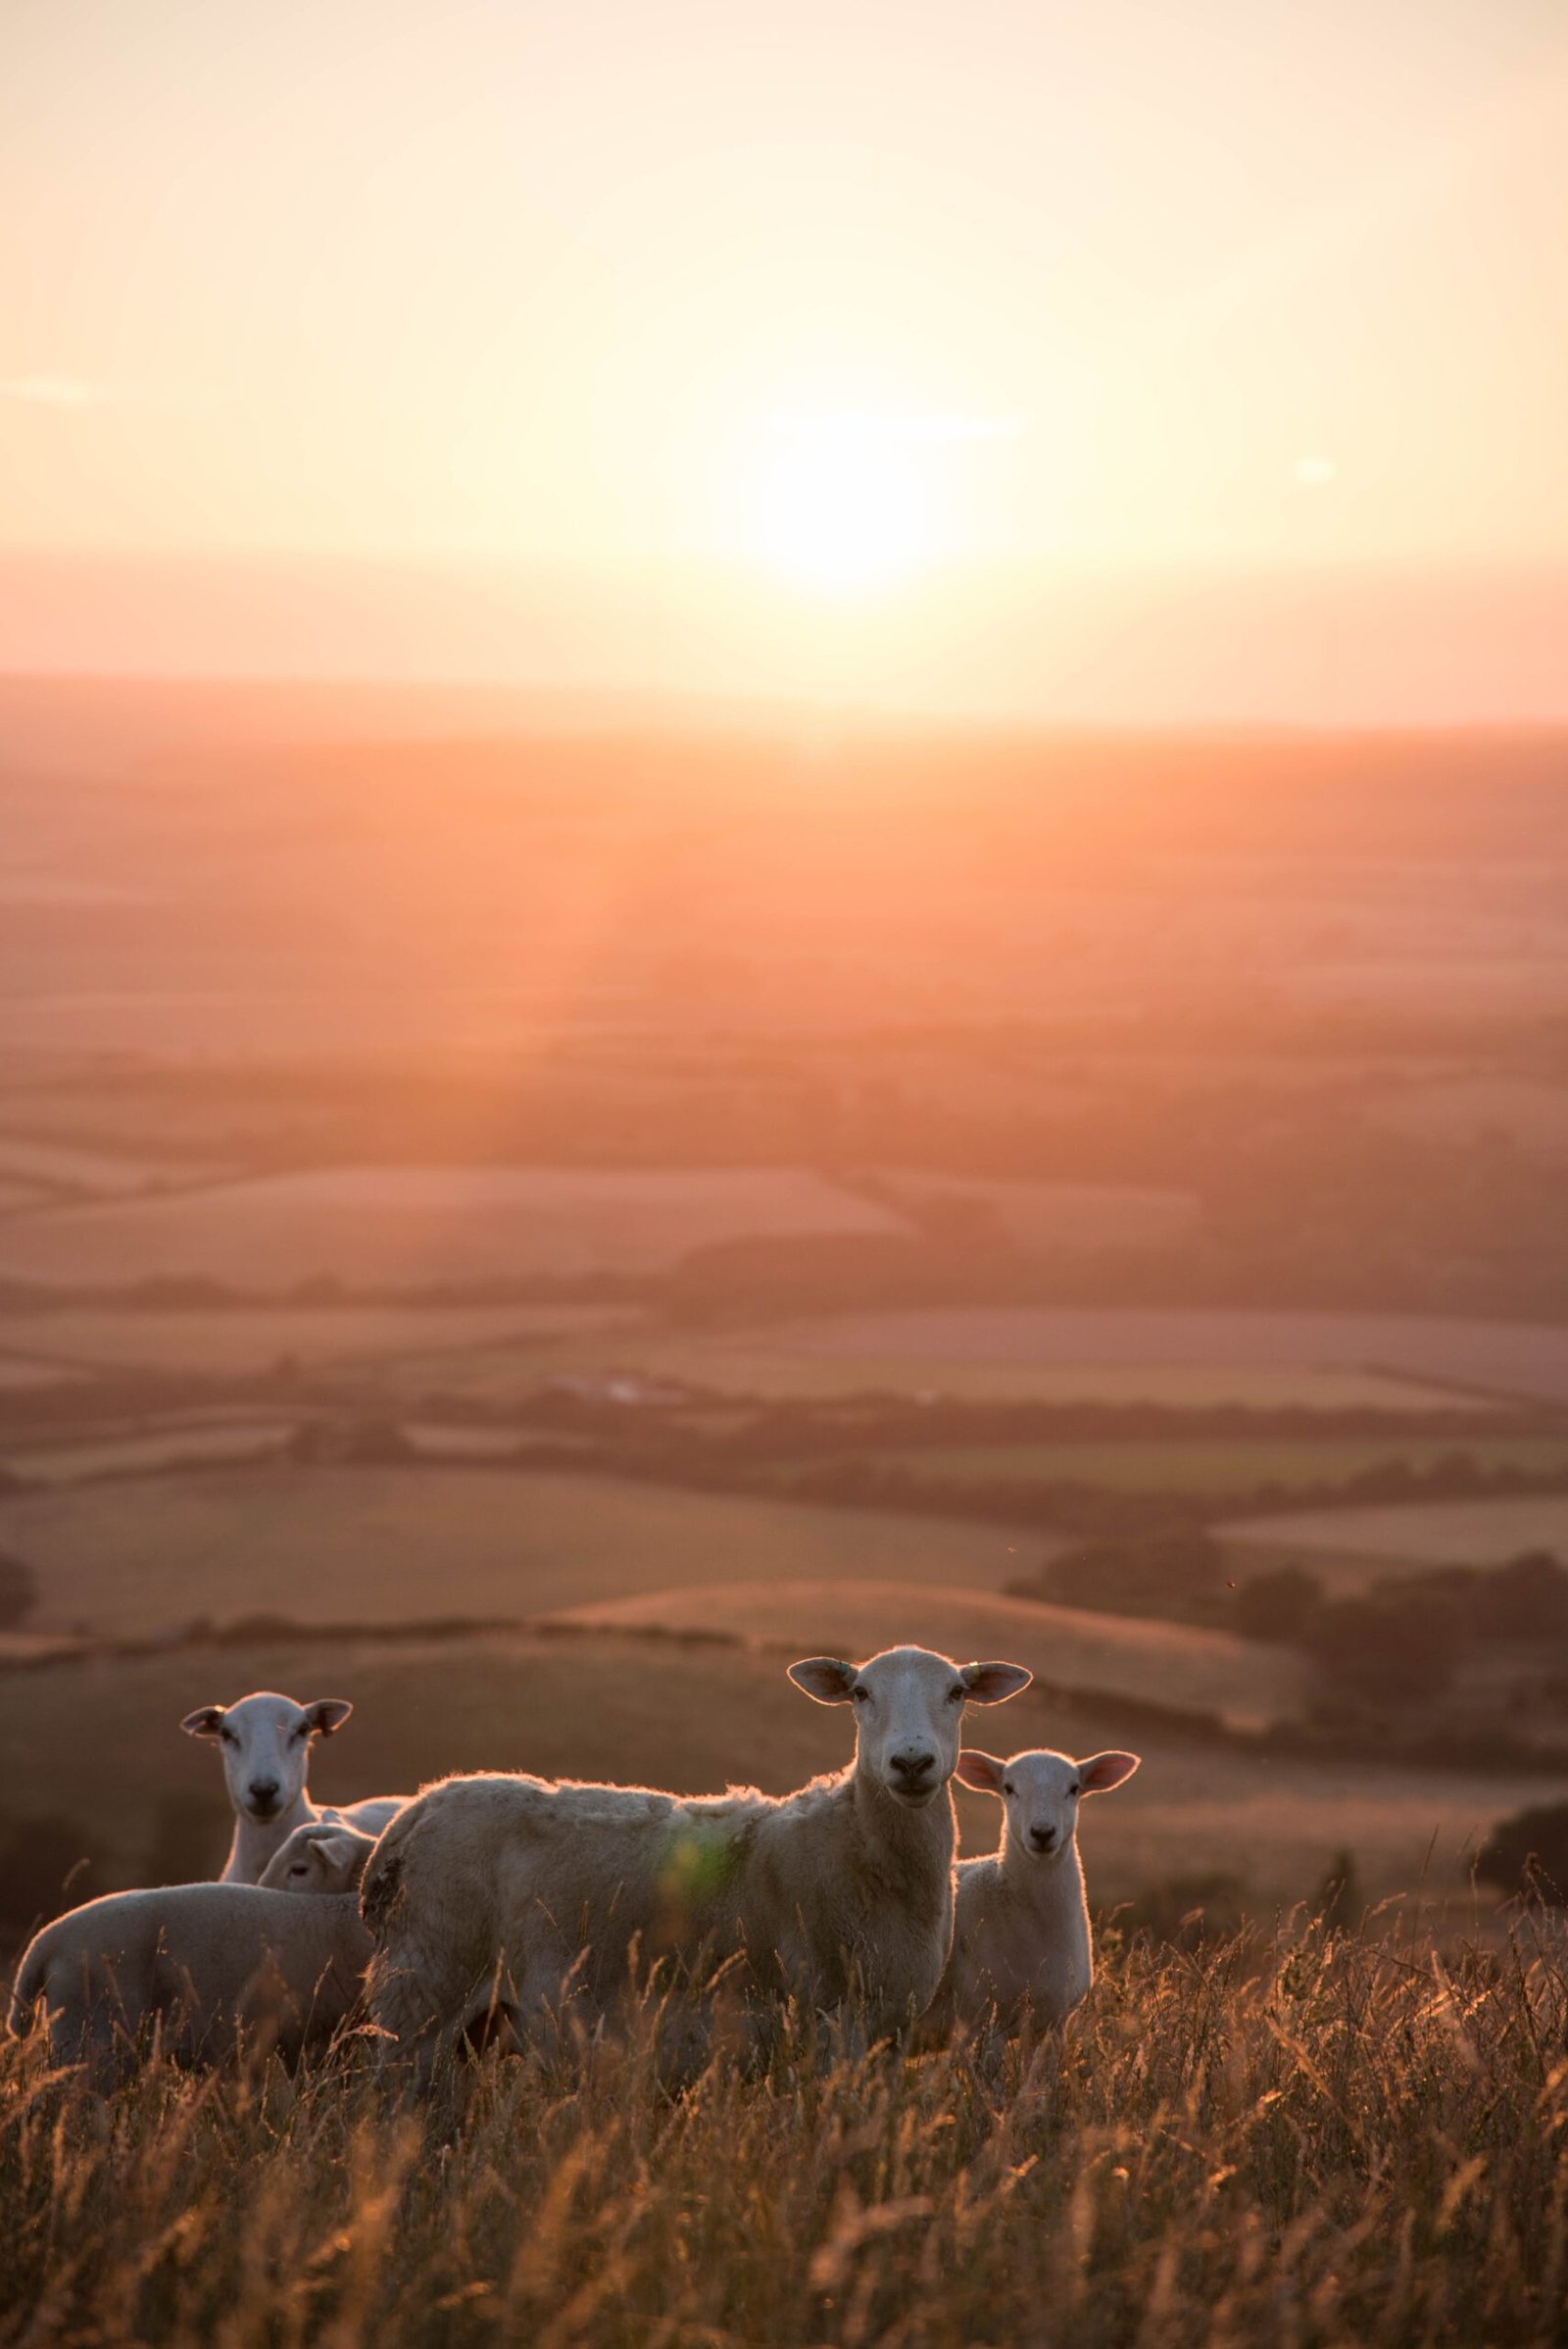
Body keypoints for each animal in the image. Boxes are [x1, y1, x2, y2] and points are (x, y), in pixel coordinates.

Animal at [360, 1644, 1032, 2082]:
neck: (862, 1846)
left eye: (957, 1693)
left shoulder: (888, 2034)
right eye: (861, 1693)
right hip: (423, 1993)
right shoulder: (823, 2024)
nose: (912, 1763)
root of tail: (415, 1811)